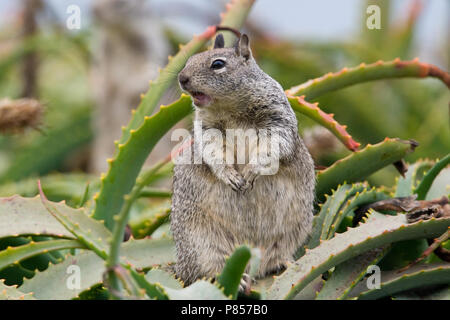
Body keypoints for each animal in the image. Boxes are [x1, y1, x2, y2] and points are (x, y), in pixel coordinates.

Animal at [171, 31, 314, 290]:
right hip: (201, 242)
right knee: (203, 270)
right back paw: (229, 280)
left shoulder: (277, 118)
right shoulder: (207, 131)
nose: (182, 78)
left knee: (274, 258)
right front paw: (230, 176)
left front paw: (251, 171)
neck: (229, 108)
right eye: (189, 59)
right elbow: (212, 152)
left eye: (218, 64)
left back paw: (284, 265)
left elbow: (273, 146)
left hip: (292, 231)